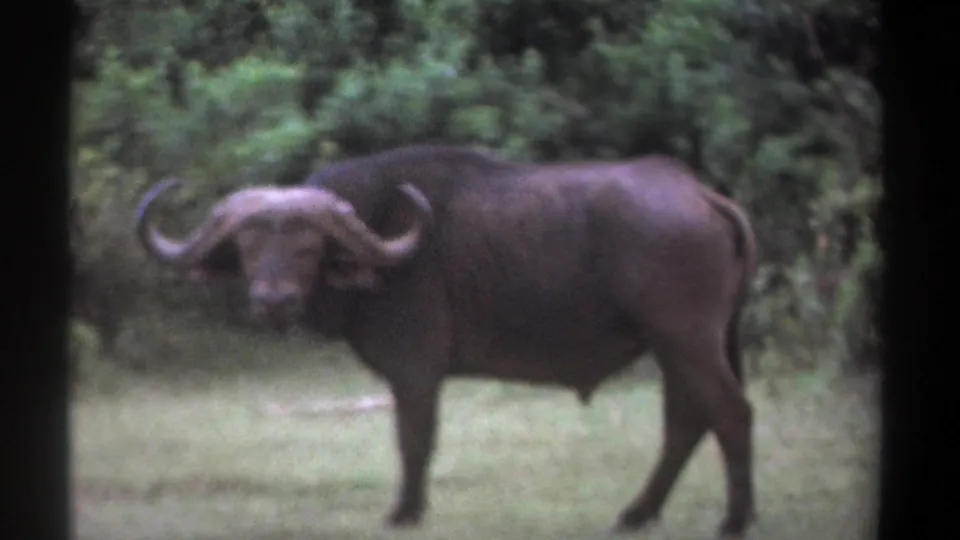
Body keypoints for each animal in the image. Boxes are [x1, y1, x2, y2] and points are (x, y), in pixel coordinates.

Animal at [135, 144, 759, 537]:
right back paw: (636, 514)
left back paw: (734, 520)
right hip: (676, 348)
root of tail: (701, 194)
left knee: (729, 413)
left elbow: (414, 440)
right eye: (247, 246)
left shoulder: (415, 370)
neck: (384, 246)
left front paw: (404, 513)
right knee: (685, 423)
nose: (273, 300)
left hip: (687, 340)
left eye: (309, 246)